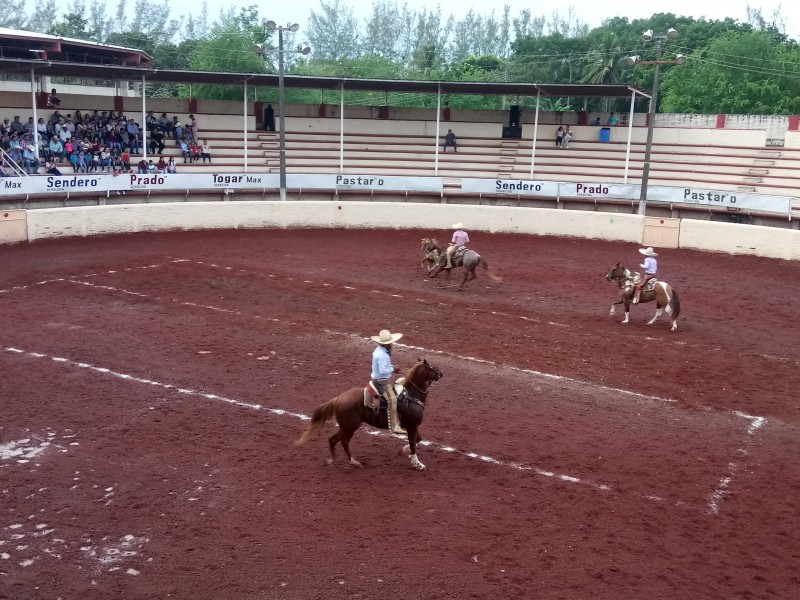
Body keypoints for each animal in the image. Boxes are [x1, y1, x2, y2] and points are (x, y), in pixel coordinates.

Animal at [296, 358, 444, 472]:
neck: (411, 396)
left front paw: (404, 451)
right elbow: (413, 443)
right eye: (432, 367)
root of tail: (337, 398)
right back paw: (338, 460)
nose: (441, 373)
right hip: (349, 427)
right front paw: (417, 464)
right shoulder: (412, 426)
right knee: (335, 440)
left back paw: (352, 461)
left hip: (348, 428)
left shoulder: (412, 426)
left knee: (342, 442)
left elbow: (418, 439)